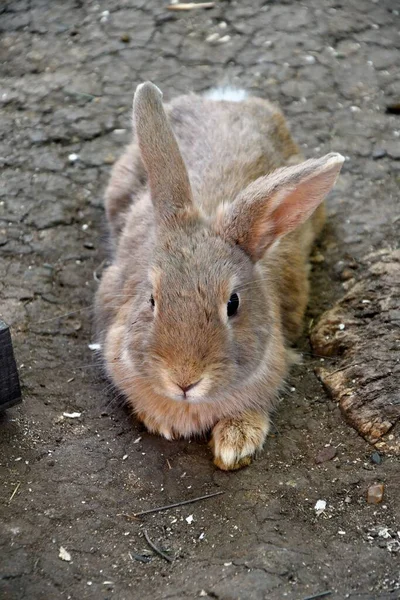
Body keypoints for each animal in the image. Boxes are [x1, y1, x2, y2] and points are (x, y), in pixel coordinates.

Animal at [94, 82, 344, 472]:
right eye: (151, 299)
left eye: (233, 304)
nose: (184, 380)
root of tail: (226, 99)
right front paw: (163, 423)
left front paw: (235, 444)